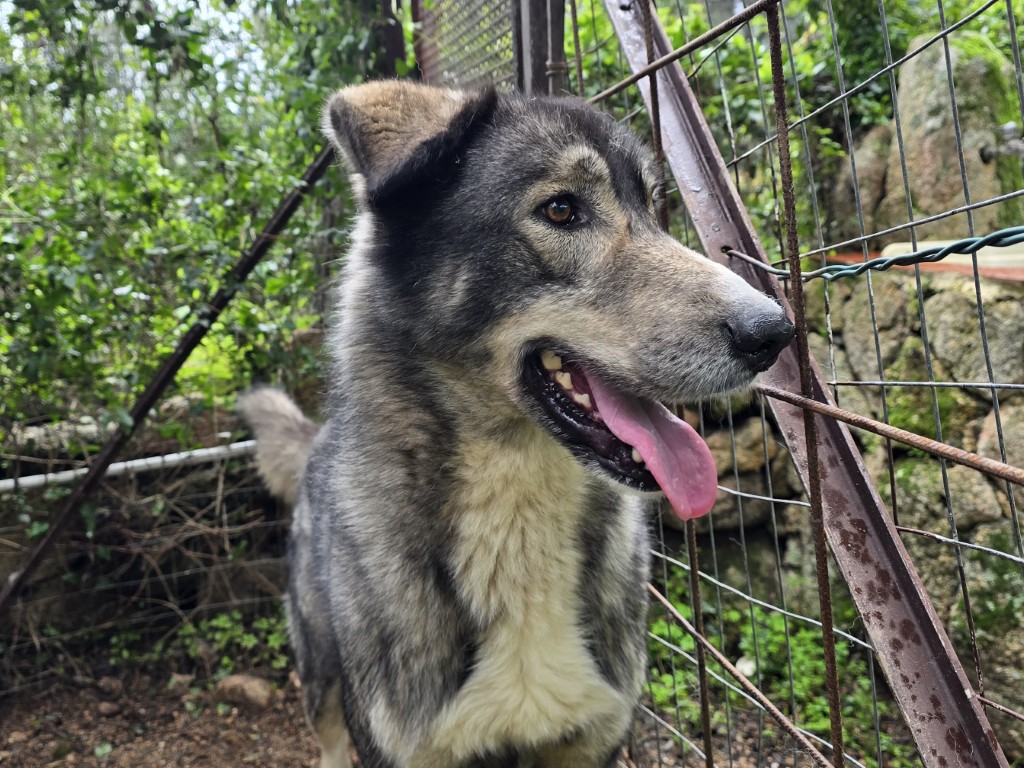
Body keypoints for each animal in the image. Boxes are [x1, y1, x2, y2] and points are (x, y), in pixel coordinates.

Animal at [238, 80, 794, 768]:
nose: (775, 332)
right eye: (560, 210)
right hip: (323, 684)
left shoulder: (594, 738)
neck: (518, 511)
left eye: (652, 207)